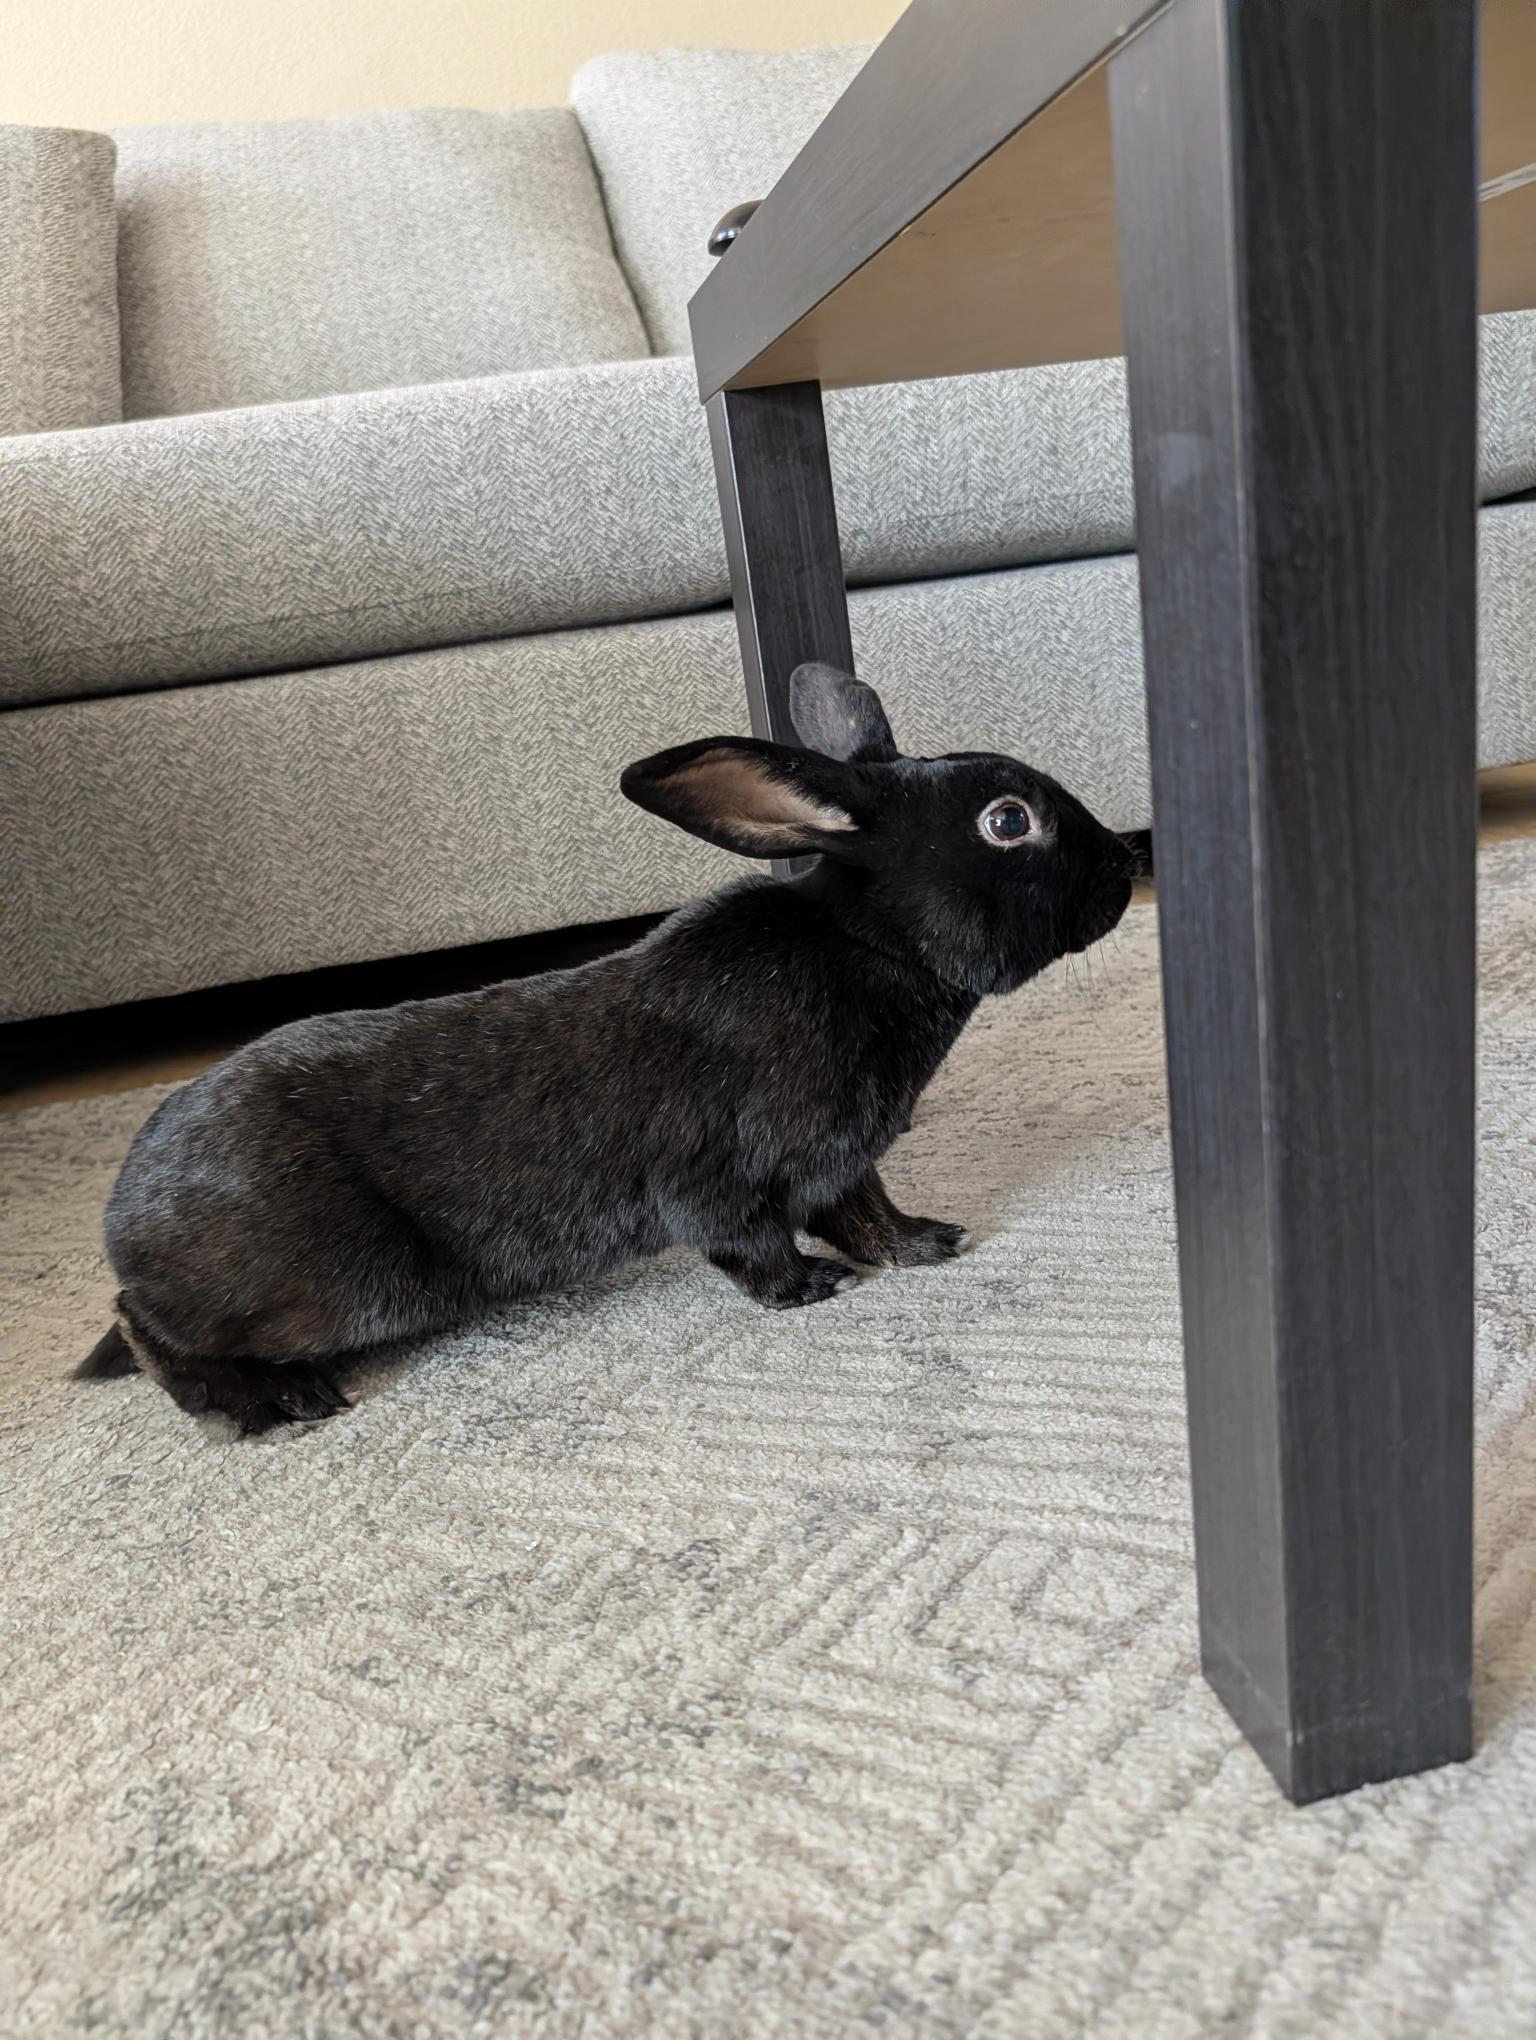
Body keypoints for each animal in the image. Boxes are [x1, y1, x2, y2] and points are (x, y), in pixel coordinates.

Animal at [76, 662, 1134, 1435]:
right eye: (1008, 822)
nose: (1126, 866)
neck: (873, 947)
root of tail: (125, 1221)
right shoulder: (720, 1172)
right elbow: (747, 1241)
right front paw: (809, 1290)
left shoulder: (839, 1160)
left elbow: (864, 1211)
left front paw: (927, 1245)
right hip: (339, 1287)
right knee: (148, 1327)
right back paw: (270, 1405)